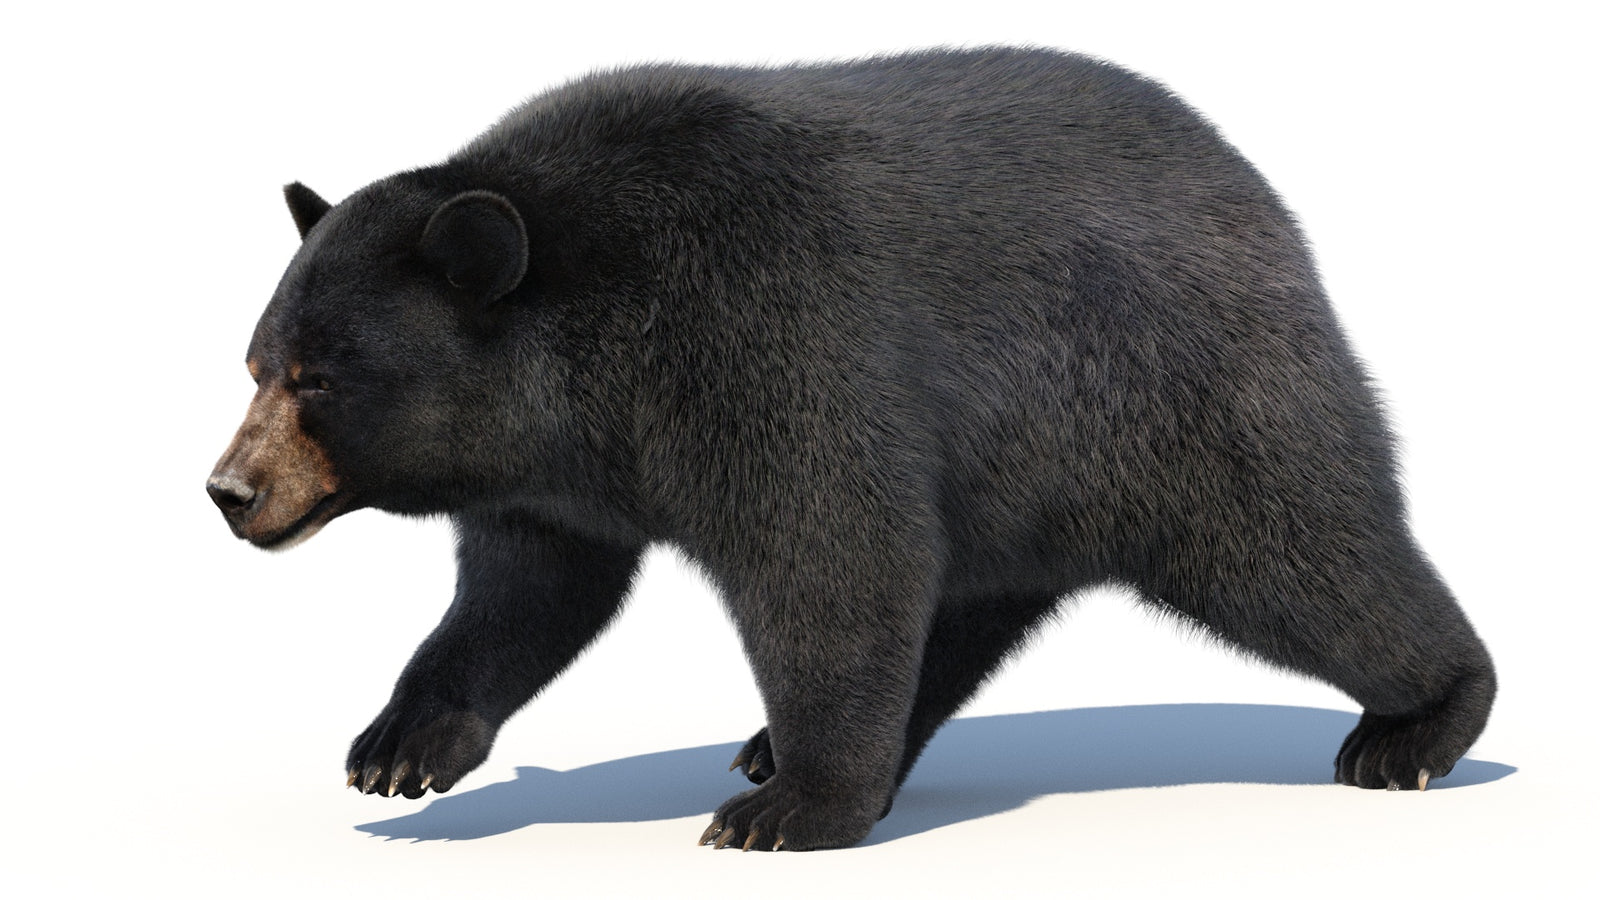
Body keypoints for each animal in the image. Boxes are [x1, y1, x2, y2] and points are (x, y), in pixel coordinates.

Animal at [207, 47, 1495, 852]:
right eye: (257, 362)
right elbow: (526, 592)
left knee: (1304, 556)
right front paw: (399, 745)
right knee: (966, 607)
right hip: (1023, 476)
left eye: (320, 379)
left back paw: (1419, 724)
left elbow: (828, 555)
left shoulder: (764, 339)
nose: (230, 491)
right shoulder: (556, 473)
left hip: (1177, 403)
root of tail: (1261, 199)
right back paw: (781, 748)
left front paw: (794, 814)